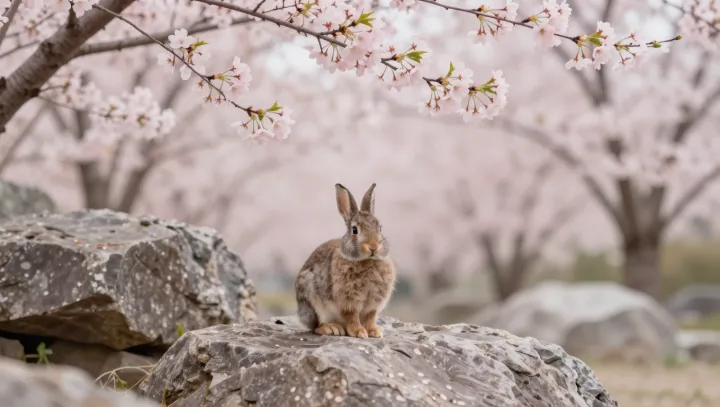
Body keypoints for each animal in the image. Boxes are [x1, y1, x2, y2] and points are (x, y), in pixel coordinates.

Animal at [295, 183, 396, 339]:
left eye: (380, 227)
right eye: (354, 230)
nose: (373, 247)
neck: (367, 261)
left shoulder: (373, 303)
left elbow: (370, 316)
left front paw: (374, 331)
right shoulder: (347, 300)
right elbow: (351, 316)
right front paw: (359, 332)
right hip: (312, 303)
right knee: (316, 327)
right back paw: (332, 328)